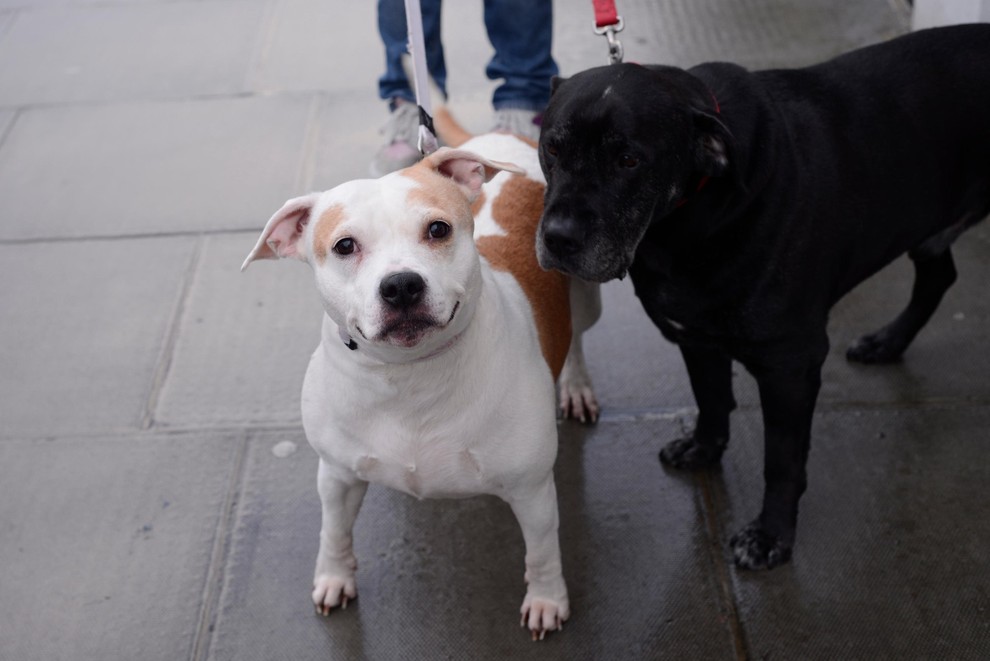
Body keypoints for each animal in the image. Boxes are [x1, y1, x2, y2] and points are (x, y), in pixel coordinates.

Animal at [244, 131, 600, 636]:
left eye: (438, 229)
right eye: (344, 245)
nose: (400, 286)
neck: (409, 375)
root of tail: (505, 134)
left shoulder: (532, 491)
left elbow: (543, 552)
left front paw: (548, 600)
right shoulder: (336, 475)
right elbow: (334, 531)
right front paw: (334, 577)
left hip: (586, 293)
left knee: (577, 337)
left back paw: (576, 384)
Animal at [540, 27, 990, 568]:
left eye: (628, 160)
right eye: (552, 148)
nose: (559, 238)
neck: (683, 222)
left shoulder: (789, 365)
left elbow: (782, 462)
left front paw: (772, 535)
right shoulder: (695, 337)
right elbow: (712, 399)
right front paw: (704, 448)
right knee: (938, 276)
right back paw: (887, 343)